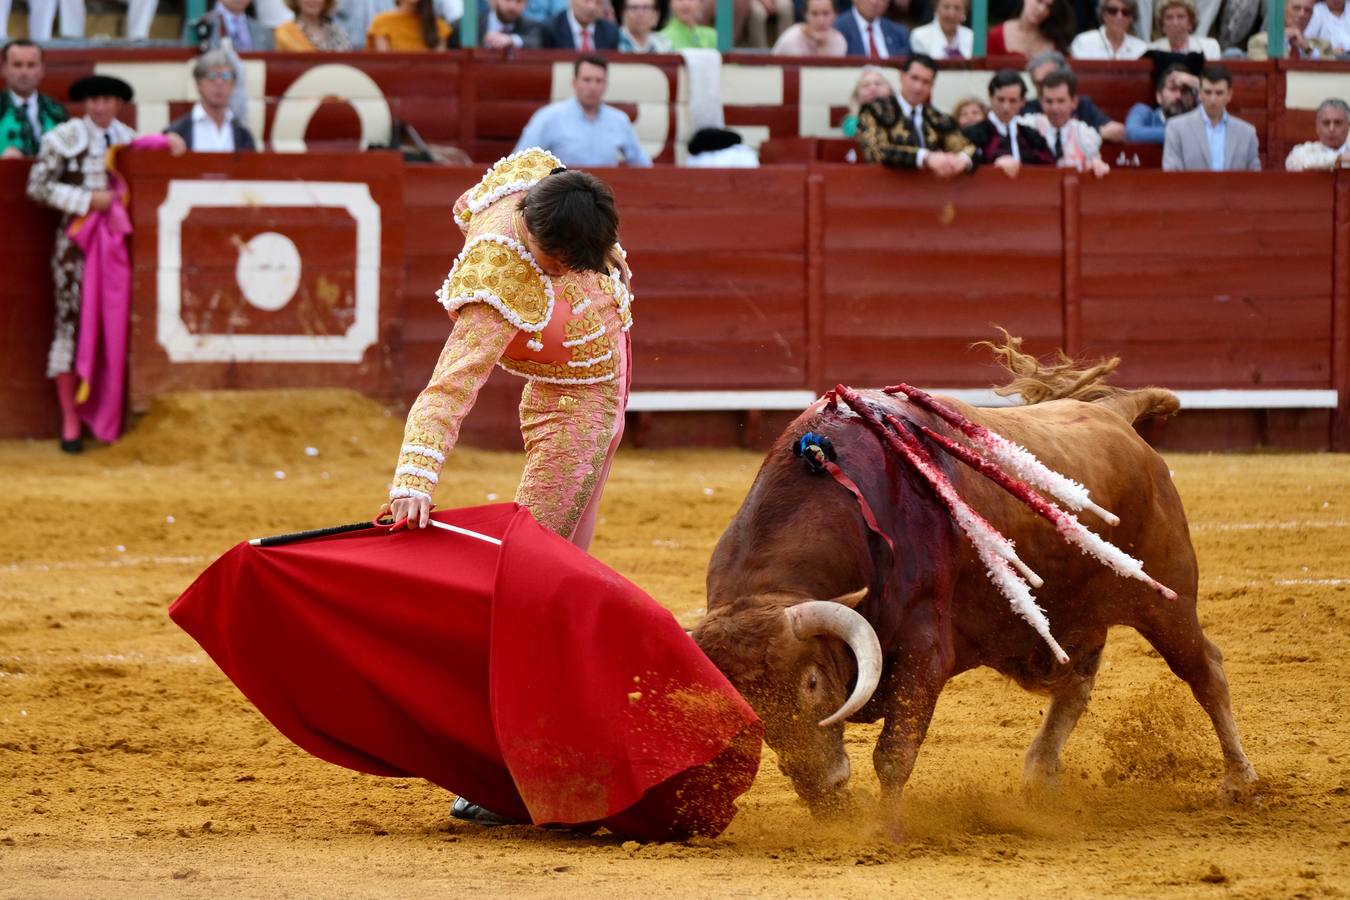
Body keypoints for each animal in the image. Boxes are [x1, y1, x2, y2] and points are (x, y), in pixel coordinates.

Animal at [691, 356, 1258, 841]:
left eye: (811, 682)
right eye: (747, 701)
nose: (819, 785)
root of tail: (1115, 415)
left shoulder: (923, 652)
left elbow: (894, 752)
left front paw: (883, 830)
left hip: (1167, 599)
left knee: (1205, 670)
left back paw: (1241, 783)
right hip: (1077, 616)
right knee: (1077, 682)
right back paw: (1039, 778)